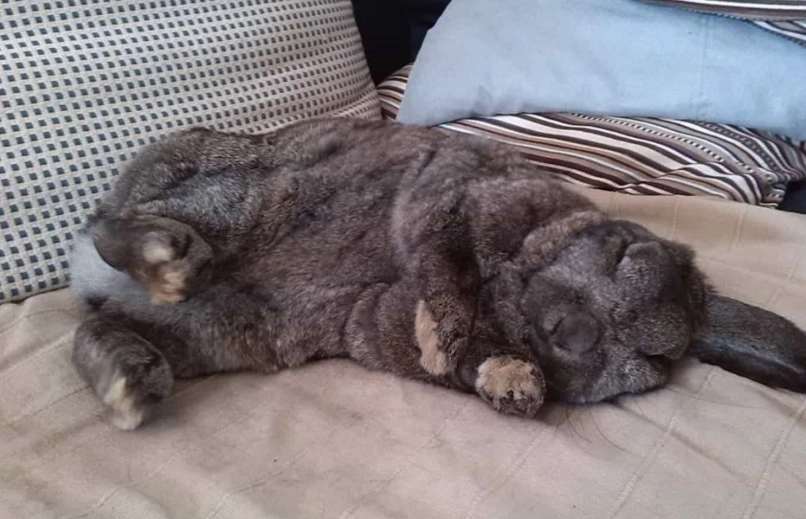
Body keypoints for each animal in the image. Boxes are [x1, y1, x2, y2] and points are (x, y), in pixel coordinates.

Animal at [69, 118, 806, 430]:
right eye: (624, 253)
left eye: (653, 359)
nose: (568, 330)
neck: (508, 292)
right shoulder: (454, 194)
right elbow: (441, 263)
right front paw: (441, 336)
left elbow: (468, 357)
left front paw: (514, 386)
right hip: (242, 196)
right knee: (115, 226)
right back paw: (164, 257)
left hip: (219, 330)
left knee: (95, 332)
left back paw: (128, 384)